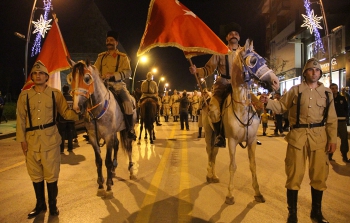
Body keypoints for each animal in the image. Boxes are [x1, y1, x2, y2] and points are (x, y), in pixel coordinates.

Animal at [202, 39, 278, 205]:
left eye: (263, 60)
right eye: (253, 60)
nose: (276, 82)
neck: (242, 108)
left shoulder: (252, 140)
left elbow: (253, 166)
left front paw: (258, 193)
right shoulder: (232, 141)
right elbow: (233, 166)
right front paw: (230, 195)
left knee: (214, 153)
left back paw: (214, 175)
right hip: (209, 133)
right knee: (210, 152)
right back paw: (209, 174)